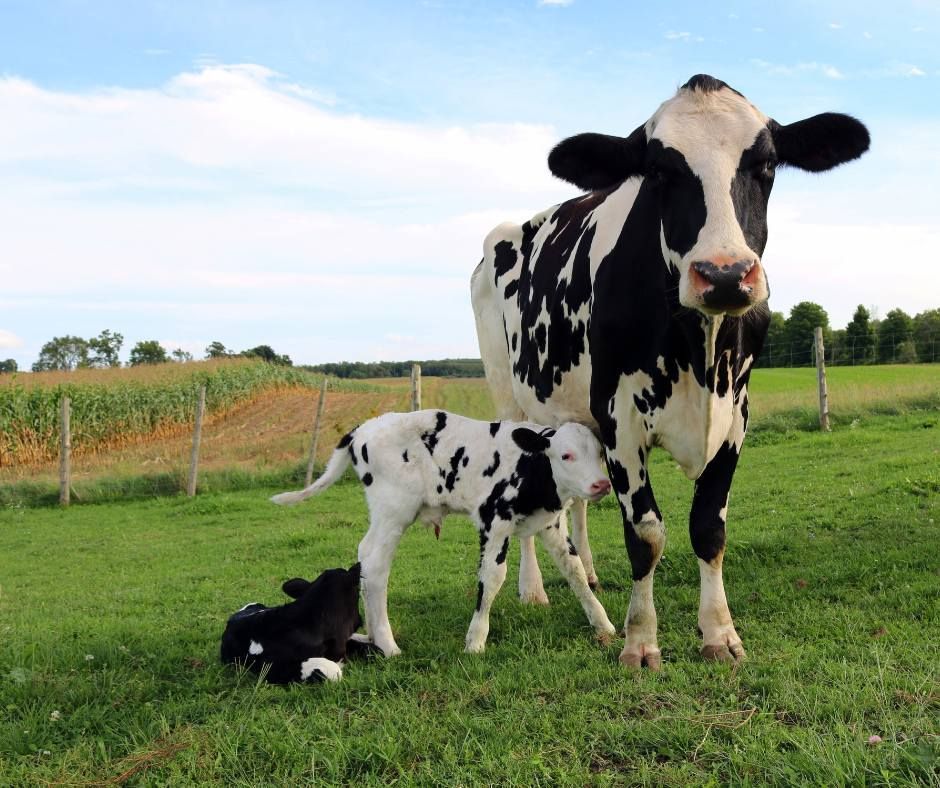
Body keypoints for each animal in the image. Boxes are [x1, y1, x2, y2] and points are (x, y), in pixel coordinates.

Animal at [271, 410, 617, 656]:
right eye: (566, 455)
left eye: (599, 452)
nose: (601, 484)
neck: (531, 467)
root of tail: (364, 428)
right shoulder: (493, 520)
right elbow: (492, 577)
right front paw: (475, 640)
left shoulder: (551, 523)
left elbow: (574, 570)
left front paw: (602, 623)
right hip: (393, 510)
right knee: (374, 563)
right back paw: (387, 644)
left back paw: (372, 635)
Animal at [470, 74, 870, 669]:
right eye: (659, 171)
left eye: (767, 164)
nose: (724, 274)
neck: (697, 352)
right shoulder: (620, 419)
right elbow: (646, 534)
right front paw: (640, 640)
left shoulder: (736, 415)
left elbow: (708, 528)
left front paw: (719, 633)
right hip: (509, 395)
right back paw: (532, 589)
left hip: (573, 416)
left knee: (578, 501)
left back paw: (588, 571)